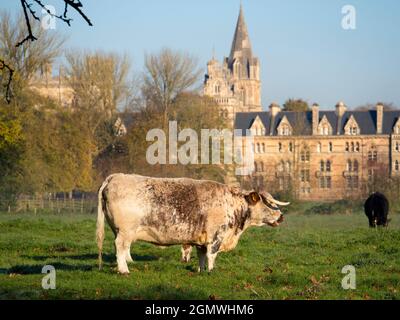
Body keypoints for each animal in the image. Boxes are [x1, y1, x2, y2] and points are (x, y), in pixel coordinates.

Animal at [97, 174, 290, 274]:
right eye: (267, 203)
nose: (281, 216)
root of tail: (115, 176)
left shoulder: (200, 240)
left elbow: (202, 256)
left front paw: (201, 271)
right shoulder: (216, 236)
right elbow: (212, 255)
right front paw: (211, 271)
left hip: (119, 230)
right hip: (125, 231)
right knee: (120, 247)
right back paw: (124, 270)